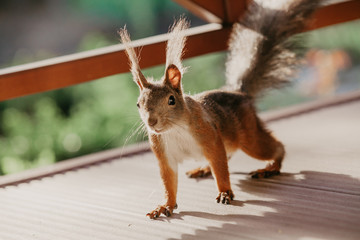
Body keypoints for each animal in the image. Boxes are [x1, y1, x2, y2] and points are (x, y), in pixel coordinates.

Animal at [119, 0, 320, 218]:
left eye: (171, 100)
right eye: (138, 104)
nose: (151, 122)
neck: (175, 130)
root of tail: (241, 94)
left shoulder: (210, 136)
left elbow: (220, 166)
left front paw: (224, 192)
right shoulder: (164, 153)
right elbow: (168, 181)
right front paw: (165, 205)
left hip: (249, 138)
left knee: (274, 148)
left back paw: (270, 167)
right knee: (229, 154)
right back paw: (204, 168)